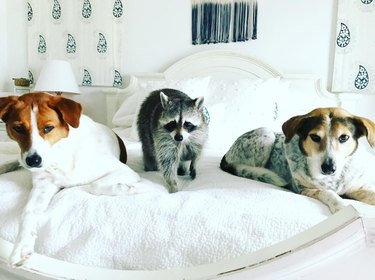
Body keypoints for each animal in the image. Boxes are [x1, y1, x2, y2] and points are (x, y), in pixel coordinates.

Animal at [0, 92, 142, 266]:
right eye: (18, 128)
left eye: (48, 128)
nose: (33, 161)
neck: (60, 154)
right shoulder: (42, 186)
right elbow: (27, 213)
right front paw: (21, 246)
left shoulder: (124, 170)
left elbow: (94, 185)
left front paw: (123, 188)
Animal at [222, 106, 375, 212]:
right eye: (315, 137)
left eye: (344, 137)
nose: (328, 168)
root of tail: (226, 154)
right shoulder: (304, 188)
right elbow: (328, 192)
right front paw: (342, 206)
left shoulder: (358, 187)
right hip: (266, 134)